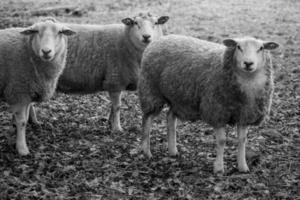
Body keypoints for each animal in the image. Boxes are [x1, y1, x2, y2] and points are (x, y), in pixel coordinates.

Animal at [0, 18, 75, 155]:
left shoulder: (27, 91)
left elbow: (26, 113)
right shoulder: (18, 91)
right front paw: (22, 148)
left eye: (60, 32)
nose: (46, 51)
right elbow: (22, 122)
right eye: (36, 31)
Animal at [29, 11, 170, 132]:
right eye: (135, 23)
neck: (126, 41)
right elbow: (117, 107)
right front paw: (117, 129)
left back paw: (33, 122)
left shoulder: (116, 82)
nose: (146, 37)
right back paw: (34, 122)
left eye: (156, 23)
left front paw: (110, 123)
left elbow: (113, 107)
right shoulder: (115, 79)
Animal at [138, 34, 278, 173]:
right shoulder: (216, 111)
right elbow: (221, 141)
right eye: (238, 47)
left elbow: (242, 140)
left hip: (179, 97)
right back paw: (146, 152)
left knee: (170, 117)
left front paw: (243, 166)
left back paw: (173, 150)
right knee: (147, 119)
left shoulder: (245, 115)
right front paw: (219, 168)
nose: (248, 63)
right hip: (151, 90)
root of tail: (162, 38)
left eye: (261, 48)